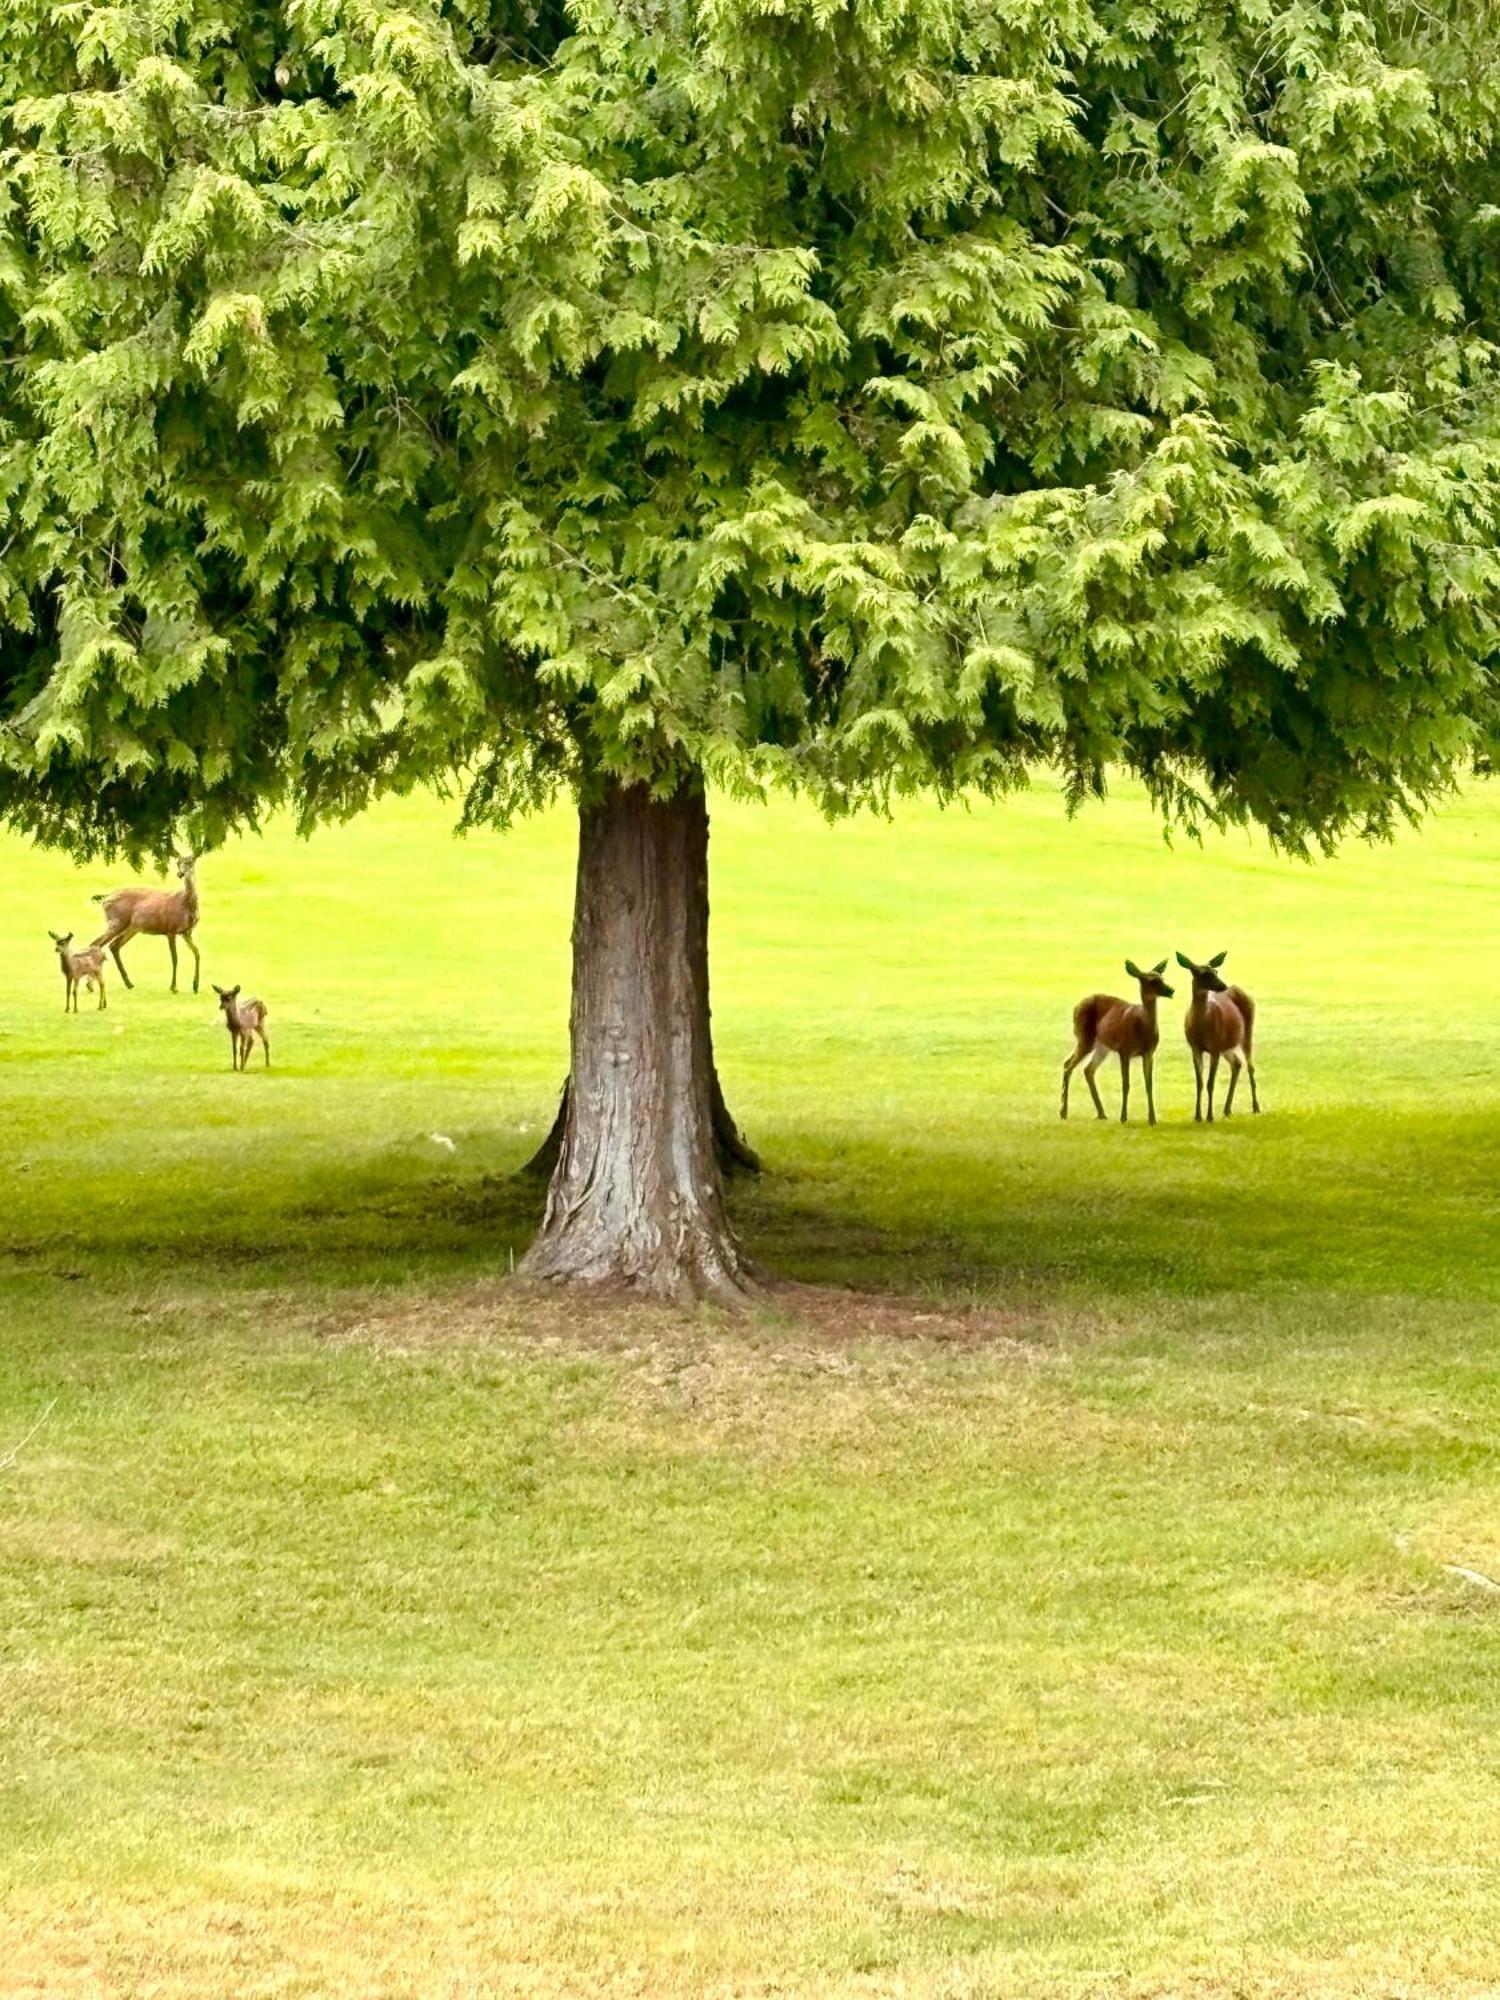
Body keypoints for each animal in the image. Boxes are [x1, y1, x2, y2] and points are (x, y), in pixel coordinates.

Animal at [90, 852, 200, 992]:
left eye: (190, 862)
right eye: (178, 863)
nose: (180, 874)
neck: (185, 903)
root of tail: (105, 897)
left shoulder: (187, 932)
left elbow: (197, 953)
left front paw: (195, 986)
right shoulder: (171, 929)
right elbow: (175, 958)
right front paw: (173, 987)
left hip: (132, 927)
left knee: (113, 945)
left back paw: (129, 984)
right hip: (117, 921)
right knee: (96, 944)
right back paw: (91, 986)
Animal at [1064, 964, 1184, 1136]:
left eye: (1162, 977)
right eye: (1152, 980)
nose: (1171, 990)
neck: (1142, 1028)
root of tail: (1075, 1007)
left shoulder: (1149, 1053)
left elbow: (1149, 1084)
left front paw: (1152, 1119)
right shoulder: (1124, 1050)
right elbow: (1125, 1084)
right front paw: (1123, 1117)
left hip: (1102, 1046)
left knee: (1086, 1069)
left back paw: (1101, 1113)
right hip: (1085, 1037)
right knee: (1069, 1066)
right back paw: (1064, 1112)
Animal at [1176, 944, 1256, 1120]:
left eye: (1216, 971)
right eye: (1204, 974)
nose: (1222, 986)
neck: (1201, 1026)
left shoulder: (1214, 1048)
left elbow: (1210, 1083)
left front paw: (1209, 1117)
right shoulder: (1195, 1047)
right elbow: (1199, 1083)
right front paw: (1198, 1116)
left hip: (1246, 1032)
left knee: (1250, 1067)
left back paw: (1256, 1107)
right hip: (1226, 1044)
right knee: (1237, 1064)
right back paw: (1227, 1109)